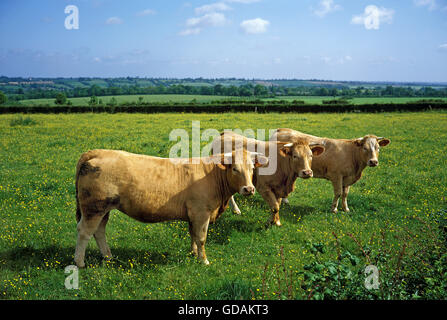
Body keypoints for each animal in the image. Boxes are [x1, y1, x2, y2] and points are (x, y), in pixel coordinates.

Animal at [75, 149, 268, 266]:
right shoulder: (201, 213)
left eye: (252, 167)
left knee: (99, 231)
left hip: (104, 209)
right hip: (94, 208)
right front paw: (203, 260)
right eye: (234, 168)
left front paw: (193, 253)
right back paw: (80, 262)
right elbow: (201, 237)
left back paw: (108, 257)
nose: (249, 189)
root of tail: (97, 152)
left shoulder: (193, 215)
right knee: (84, 231)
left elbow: (193, 235)